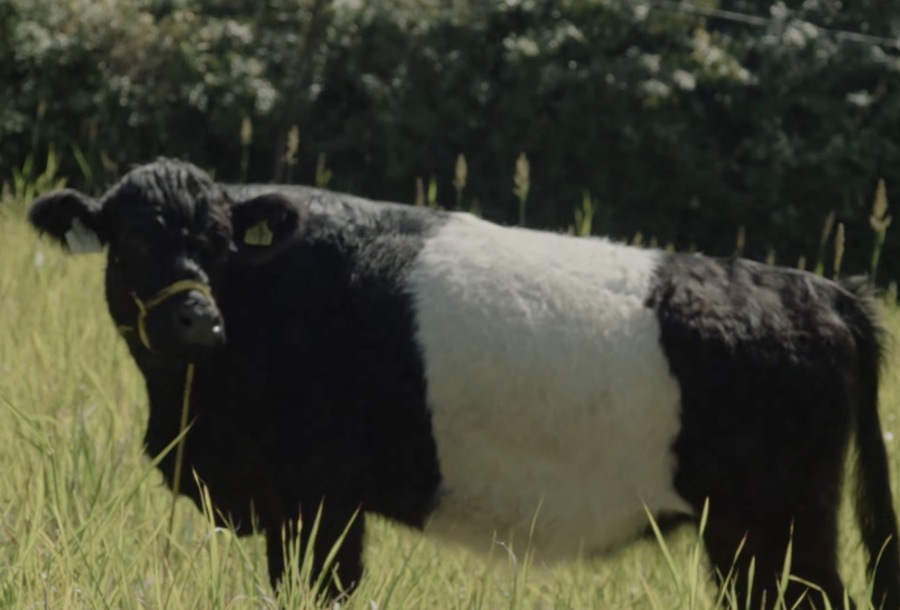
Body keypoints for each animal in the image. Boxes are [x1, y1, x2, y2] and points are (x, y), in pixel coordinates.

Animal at [28, 158, 900, 609]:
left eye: (219, 244)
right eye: (134, 241)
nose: (197, 320)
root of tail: (817, 287)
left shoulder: (319, 501)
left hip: (778, 526)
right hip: (752, 534)